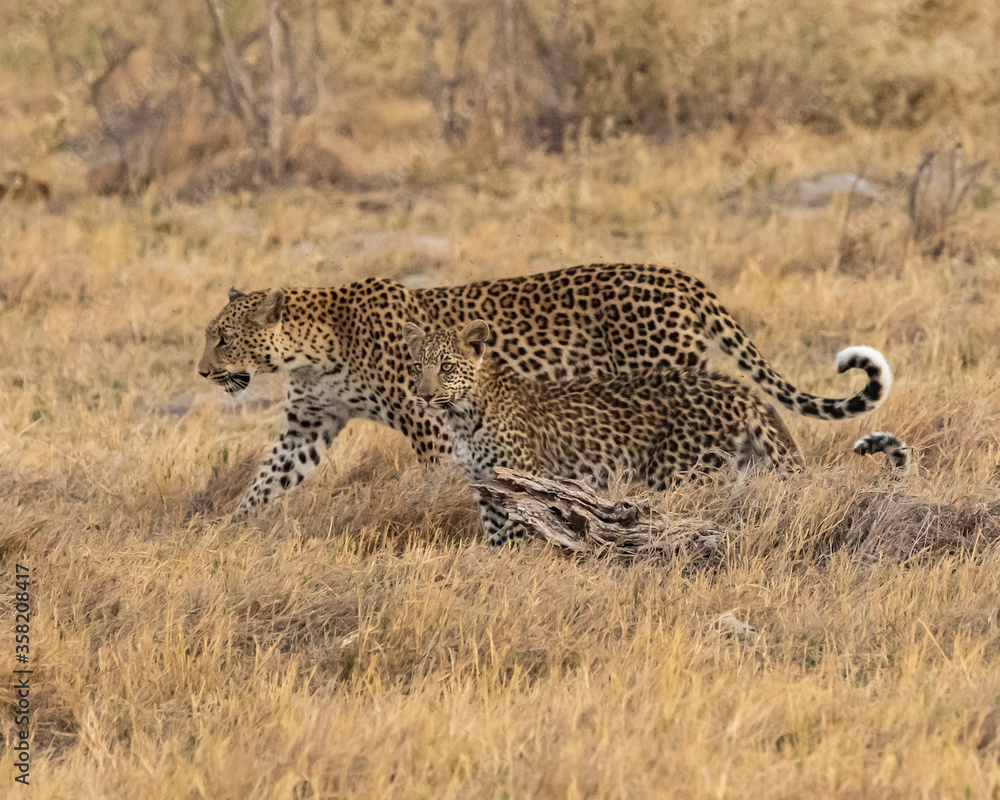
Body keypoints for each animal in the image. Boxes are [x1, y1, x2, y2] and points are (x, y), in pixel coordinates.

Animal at [195, 260, 892, 516]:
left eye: (222, 339)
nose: (203, 372)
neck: (313, 350)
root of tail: (682, 277)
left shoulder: (429, 424)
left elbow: (441, 482)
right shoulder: (307, 425)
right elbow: (268, 480)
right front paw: (231, 530)